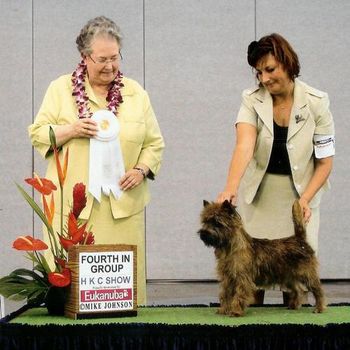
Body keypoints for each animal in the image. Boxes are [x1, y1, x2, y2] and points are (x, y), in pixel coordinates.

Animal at [198, 200, 326, 318]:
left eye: (217, 222)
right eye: (205, 221)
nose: (203, 233)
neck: (229, 248)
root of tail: (299, 239)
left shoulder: (242, 279)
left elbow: (239, 295)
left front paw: (235, 311)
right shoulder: (227, 278)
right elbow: (225, 294)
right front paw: (223, 310)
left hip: (306, 273)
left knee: (317, 290)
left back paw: (319, 308)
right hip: (287, 277)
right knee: (297, 290)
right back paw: (293, 306)